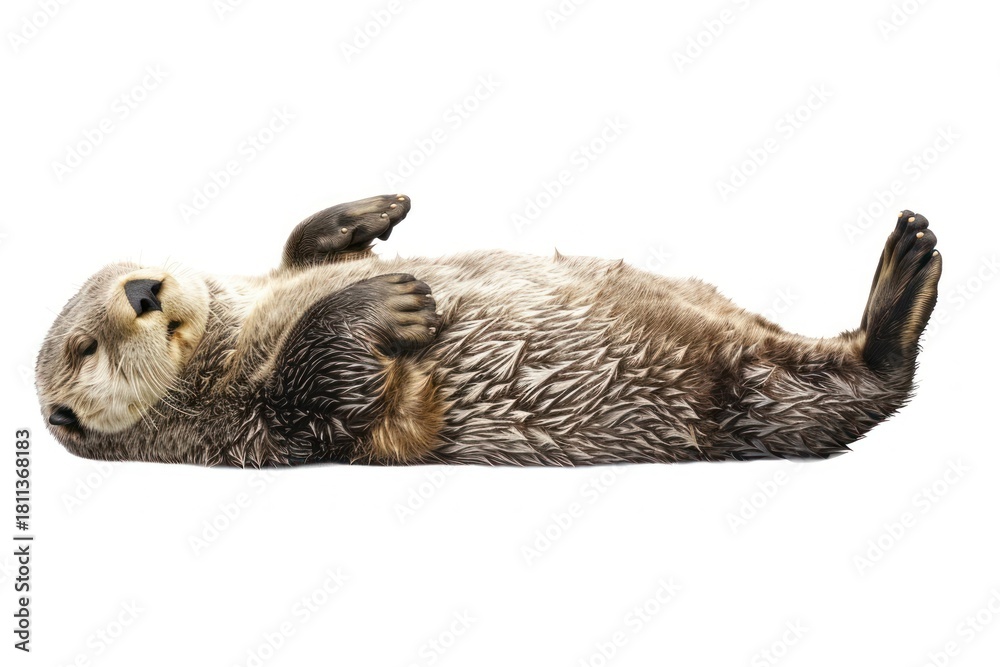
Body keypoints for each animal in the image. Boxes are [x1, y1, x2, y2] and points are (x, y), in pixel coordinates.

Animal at [36, 195, 941, 466]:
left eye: (118, 274)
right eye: (85, 347)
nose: (143, 290)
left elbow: (300, 245)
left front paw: (371, 216)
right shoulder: (263, 427)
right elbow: (333, 387)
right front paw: (392, 299)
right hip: (755, 394)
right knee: (863, 389)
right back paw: (904, 284)